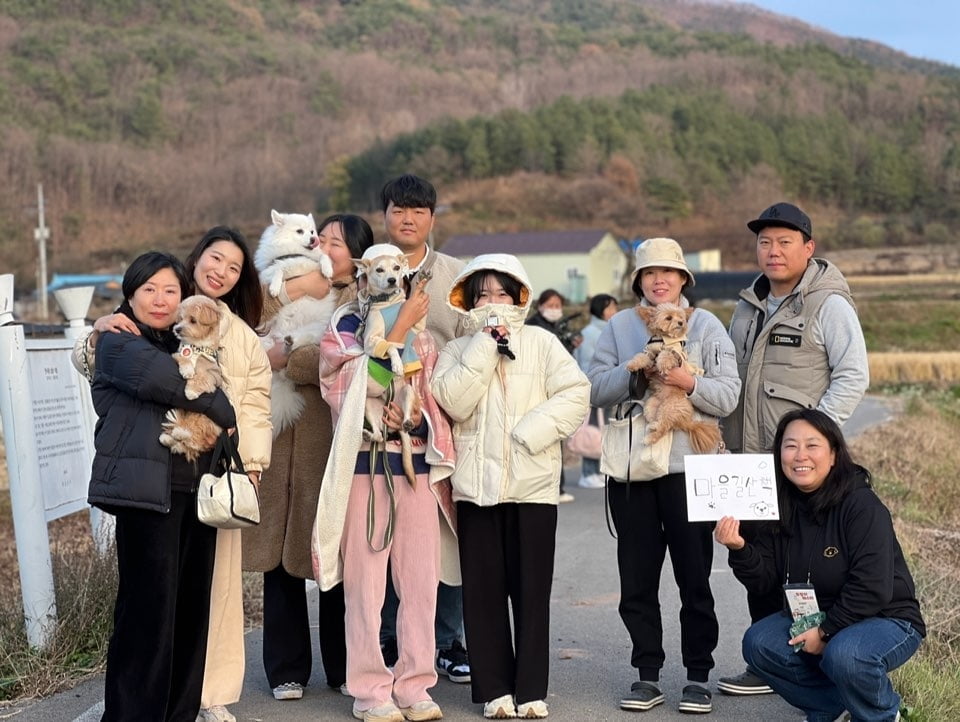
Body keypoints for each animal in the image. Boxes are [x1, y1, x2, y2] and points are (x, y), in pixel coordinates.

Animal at [159, 294, 225, 458]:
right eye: (180, 319)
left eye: (193, 320)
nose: (177, 329)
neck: (197, 347)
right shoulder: (178, 354)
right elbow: (184, 359)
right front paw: (188, 370)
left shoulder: (214, 375)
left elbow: (202, 377)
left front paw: (191, 391)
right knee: (185, 443)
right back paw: (169, 437)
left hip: (204, 419)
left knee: (192, 438)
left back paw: (179, 433)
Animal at [255, 208, 338, 434]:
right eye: (300, 231)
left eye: (312, 231)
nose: (314, 239)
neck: (295, 252)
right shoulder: (273, 268)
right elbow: (278, 270)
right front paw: (276, 288)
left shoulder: (312, 262)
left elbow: (323, 258)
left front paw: (327, 270)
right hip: (264, 336)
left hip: (315, 330)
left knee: (298, 345)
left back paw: (290, 343)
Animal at [354, 242, 430, 484]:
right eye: (379, 270)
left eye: (397, 268)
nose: (391, 280)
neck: (387, 304)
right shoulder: (372, 342)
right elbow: (390, 346)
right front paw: (395, 364)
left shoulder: (415, 329)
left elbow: (406, 337)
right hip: (368, 404)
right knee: (378, 436)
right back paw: (368, 433)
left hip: (408, 392)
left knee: (405, 421)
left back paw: (407, 422)